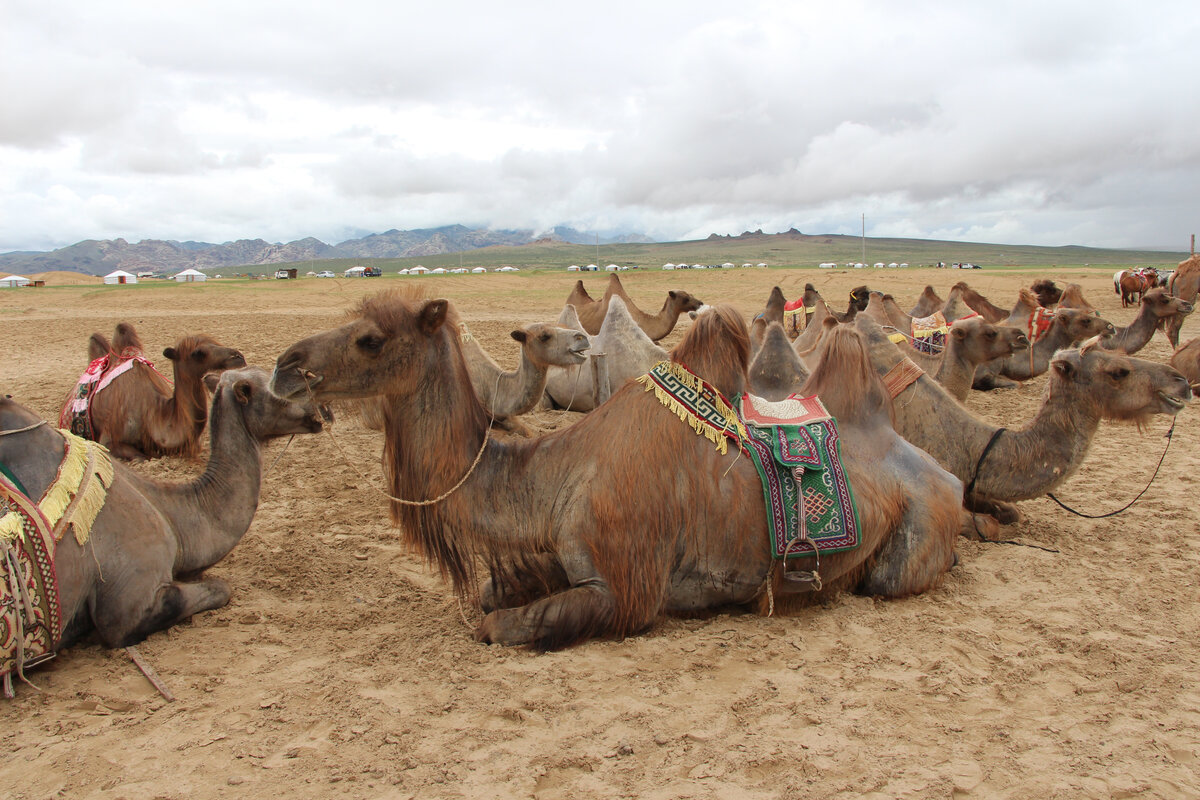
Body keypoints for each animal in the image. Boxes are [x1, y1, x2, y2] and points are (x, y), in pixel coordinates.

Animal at [64, 323, 247, 462]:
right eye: (197, 353)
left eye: (215, 341)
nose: (238, 357)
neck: (153, 415)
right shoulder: (109, 440)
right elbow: (142, 457)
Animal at [274, 287, 964, 652]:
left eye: (370, 339)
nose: (285, 366)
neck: (555, 476)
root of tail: (942, 472)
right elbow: (495, 593)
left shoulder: (625, 590)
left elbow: (496, 623)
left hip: (914, 535)